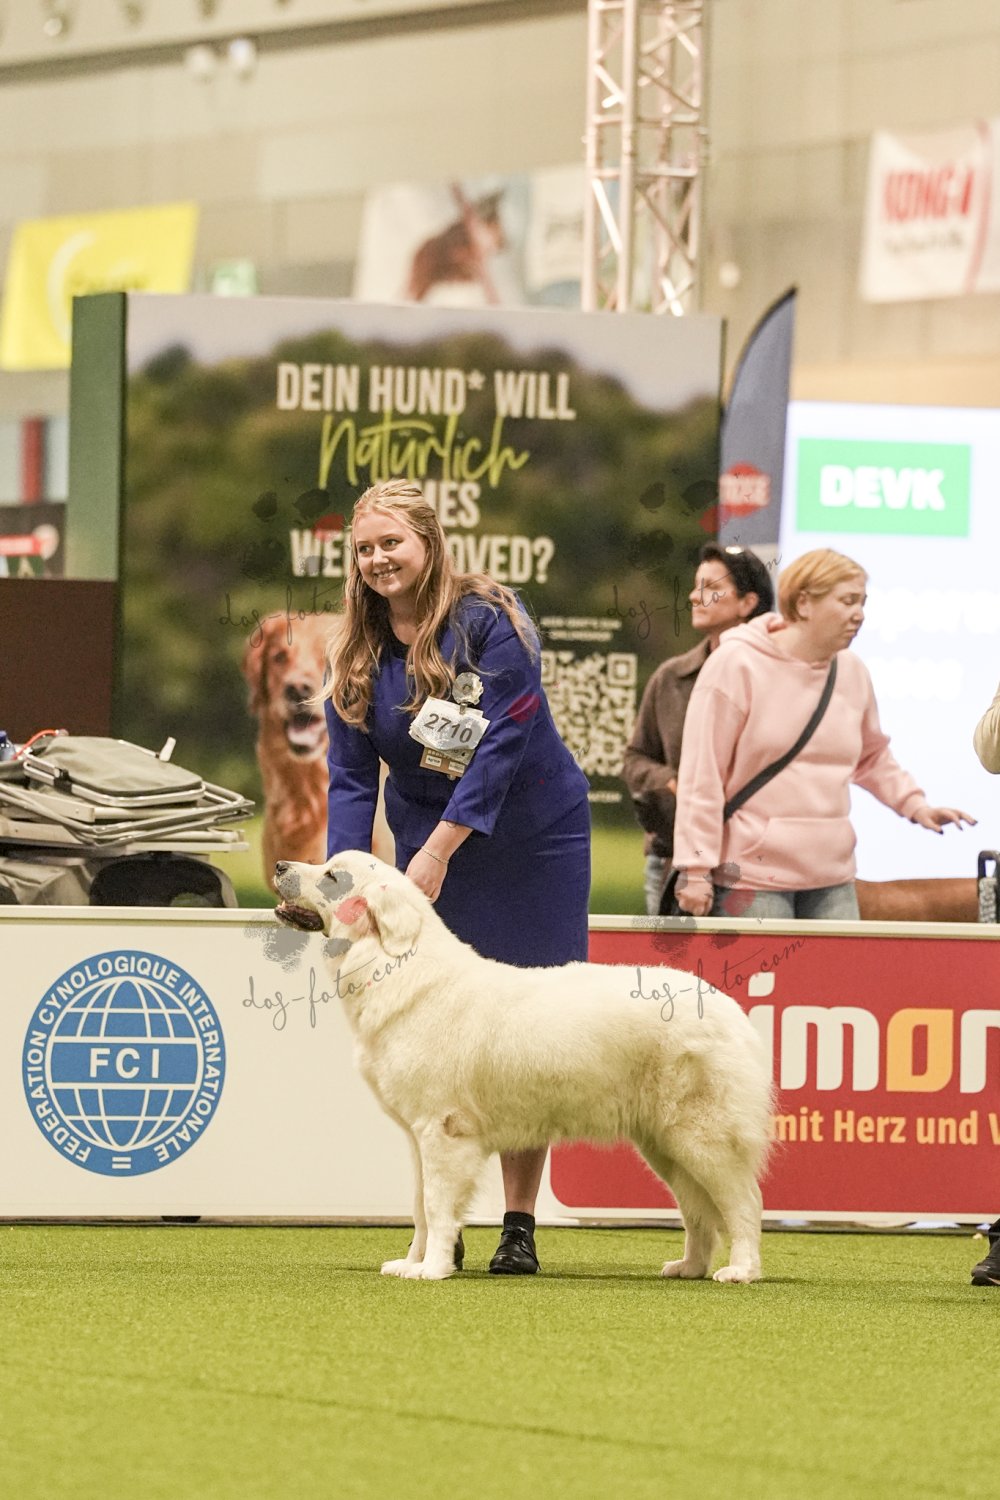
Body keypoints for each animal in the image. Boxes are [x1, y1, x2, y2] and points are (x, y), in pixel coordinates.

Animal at [274, 851, 774, 1282]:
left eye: (332, 876)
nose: (279, 865)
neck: (393, 964)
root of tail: (731, 1009)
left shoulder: (442, 1131)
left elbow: (436, 1206)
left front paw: (432, 1269)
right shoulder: (418, 1138)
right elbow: (418, 1206)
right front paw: (411, 1262)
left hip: (703, 1139)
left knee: (744, 1203)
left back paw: (741, 1270)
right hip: (665, 1146)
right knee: (697, 1210)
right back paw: (689, 1267)